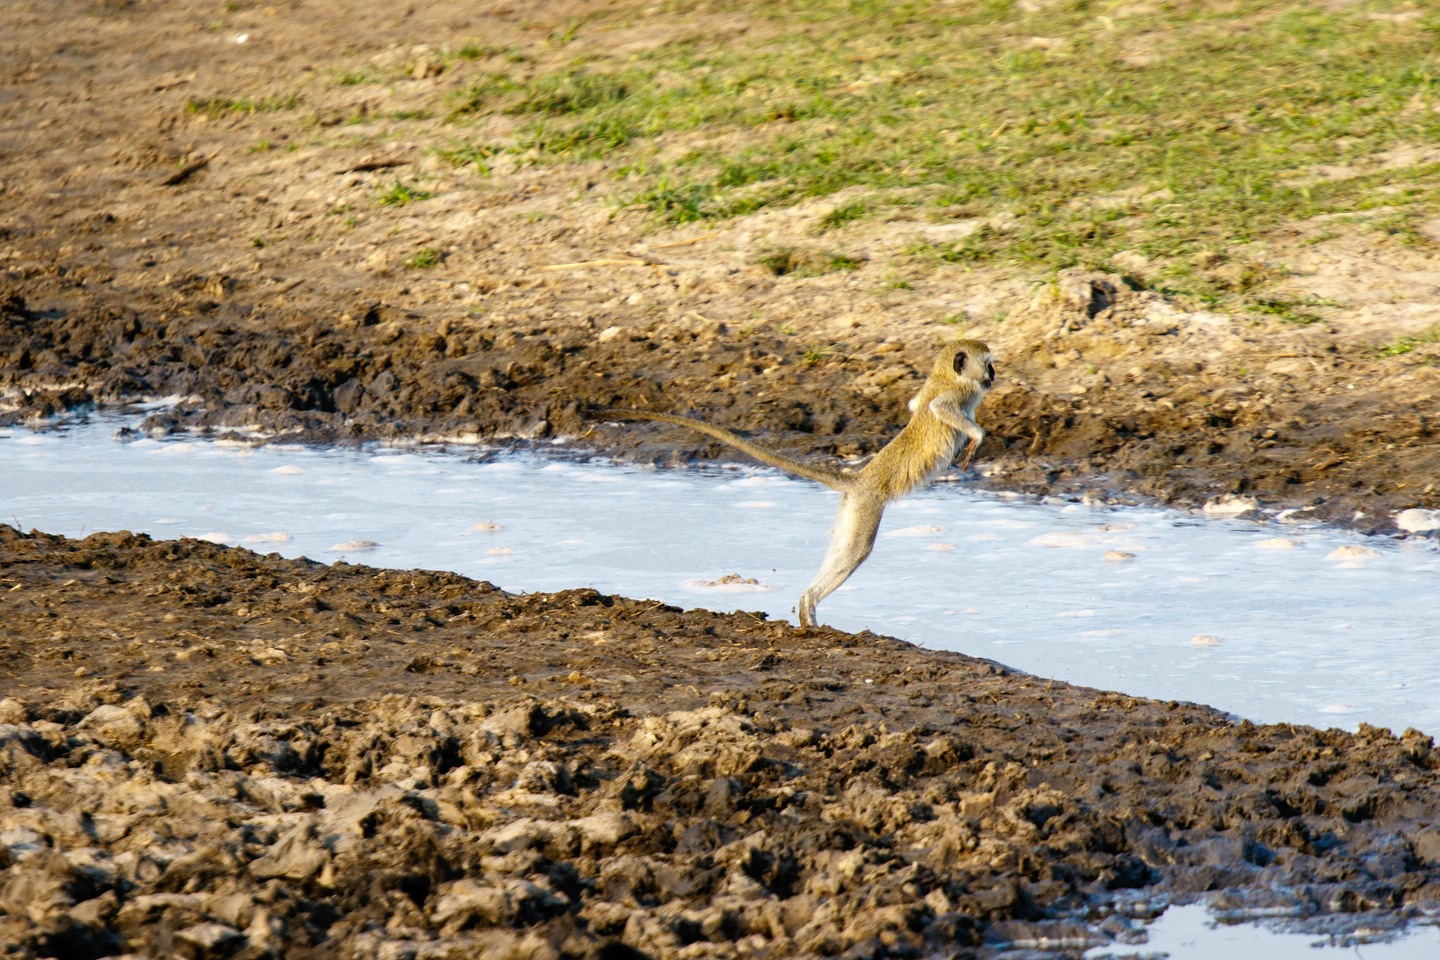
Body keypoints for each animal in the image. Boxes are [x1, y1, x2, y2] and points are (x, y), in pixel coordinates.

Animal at [601, 339, 996, 630]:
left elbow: (916, 404)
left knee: (842, 549)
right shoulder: (958, 395)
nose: (993, 376)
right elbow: (941, 408)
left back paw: (807, 605)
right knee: (857, 552)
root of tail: (860, 479)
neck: (946, 375)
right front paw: (977, 435)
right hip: (868, 506)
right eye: (988, 364)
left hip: (851, 509)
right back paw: (810, 604)